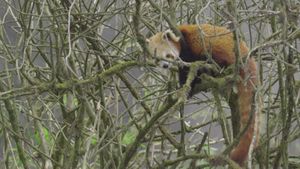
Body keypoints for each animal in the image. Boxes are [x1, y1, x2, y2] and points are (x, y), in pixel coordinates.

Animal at [146, 24, 258, 166]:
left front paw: (188, 86)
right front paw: (183, 86)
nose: (165, 65)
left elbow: (191, 68)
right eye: (157, 58)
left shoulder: (189, 50)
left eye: (167, 55)